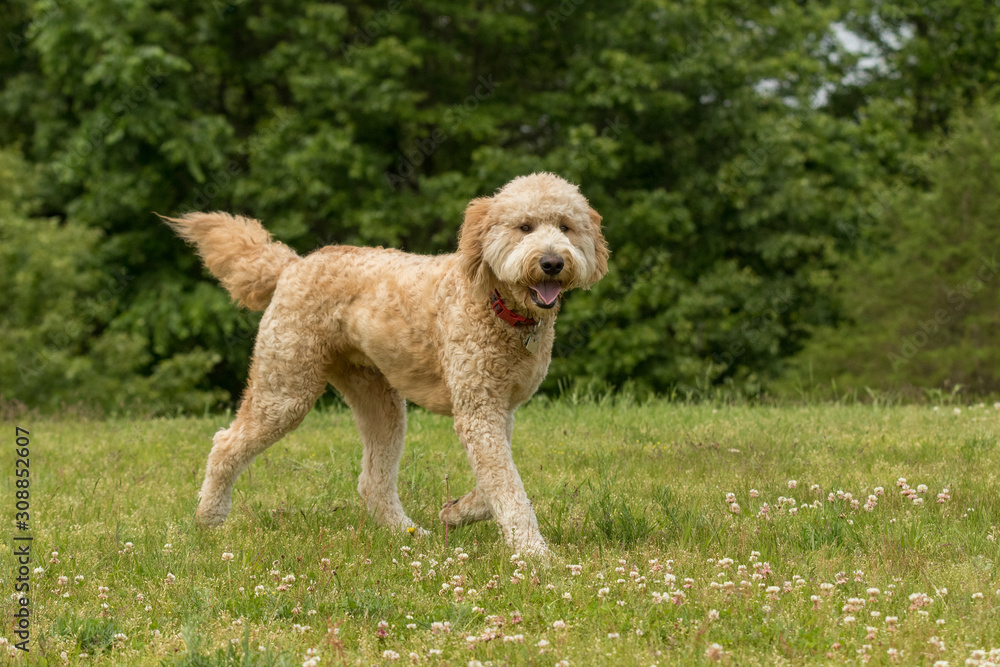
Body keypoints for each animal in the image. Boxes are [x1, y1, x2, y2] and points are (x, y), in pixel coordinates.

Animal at [162, 172, 608, 552]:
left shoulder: (498, 409)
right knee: (225, 444)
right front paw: (533, 553)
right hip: (285, 387)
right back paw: (209, 519)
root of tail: (293, 264)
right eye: (525, 227)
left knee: (372, 482)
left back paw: (408, 533)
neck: (497, 305)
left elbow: (496, 480)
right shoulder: (479, 410)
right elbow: (508, 487)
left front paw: (458, 511)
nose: (552, 262)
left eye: (566, 227)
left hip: (379, 400)